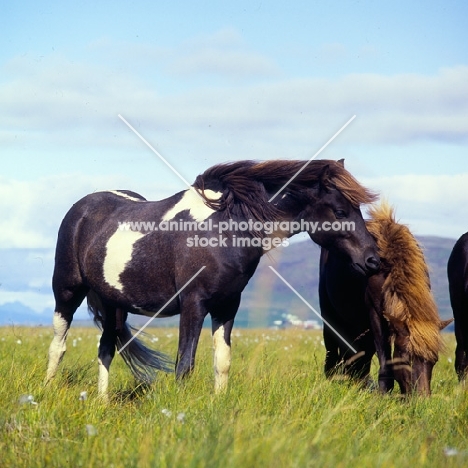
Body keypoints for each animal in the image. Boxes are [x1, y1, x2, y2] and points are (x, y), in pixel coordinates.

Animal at [44, 158, 380, 398]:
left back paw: (101, 403)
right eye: (340, 212)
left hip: (113, 303)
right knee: (58, 345)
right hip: (67, 292)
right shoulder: (193, 304)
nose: (374, 260)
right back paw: (47, 390)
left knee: (106, 348)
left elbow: (222, 361)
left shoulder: (227, 306)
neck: (224, 228)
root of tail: (81, 208)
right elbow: (185, 364)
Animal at [320, 202, 448, 394]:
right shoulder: (376, 315)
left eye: (434, 361)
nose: (422, 398)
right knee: (332, 348)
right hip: (330, 314)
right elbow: (384, 355)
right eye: (407, 360)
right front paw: (383, 393)